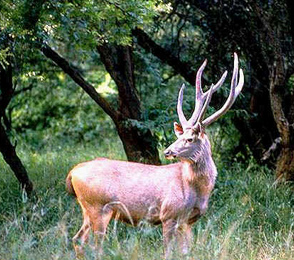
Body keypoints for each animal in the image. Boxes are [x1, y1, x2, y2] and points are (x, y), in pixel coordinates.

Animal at [66, 52, 243, 258]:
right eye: (179, 136)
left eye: (189, 138)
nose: (167, 151)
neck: (196, 189)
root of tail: (73, 173)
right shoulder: (169, 214)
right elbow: (167, 252)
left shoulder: (187, 221)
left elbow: (186, 253)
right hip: (98, 207)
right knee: (96, 247)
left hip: (88, 209)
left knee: (77, 239)